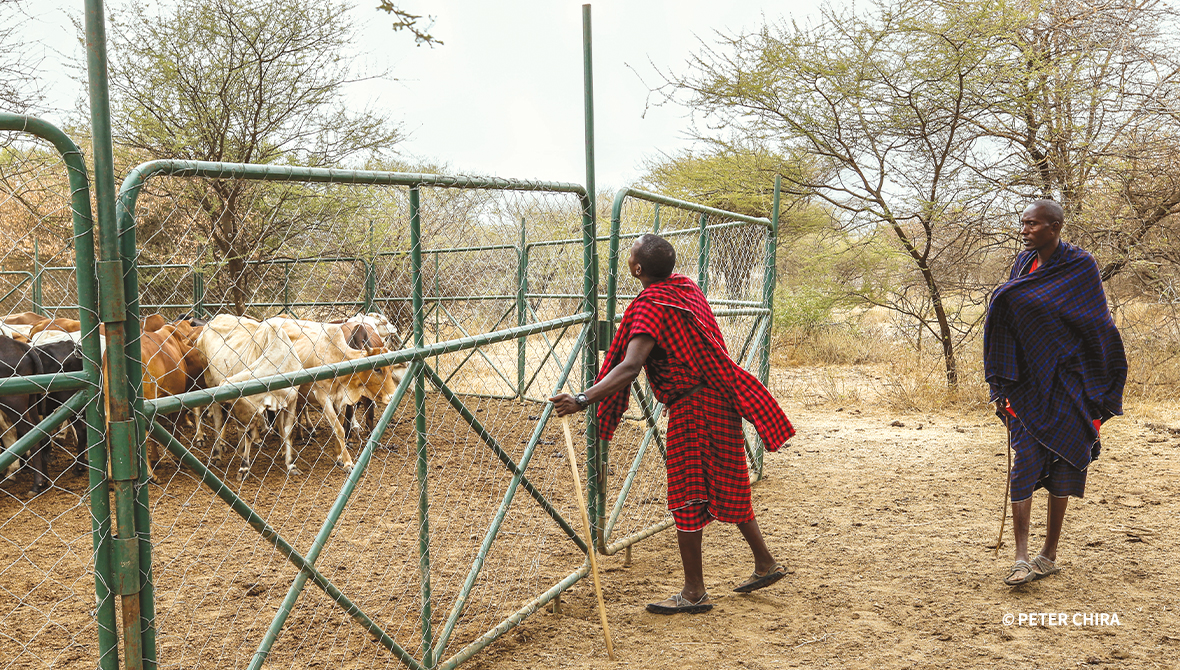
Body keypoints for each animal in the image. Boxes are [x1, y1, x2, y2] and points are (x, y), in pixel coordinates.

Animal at [192, 316, 299, 478]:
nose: (240, 427)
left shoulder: (291, 401)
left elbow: (286, 430)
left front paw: (290, 463)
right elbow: (249, 435)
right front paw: (244, 467)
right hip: (209, 380)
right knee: (218, 422)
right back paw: (217, 453)